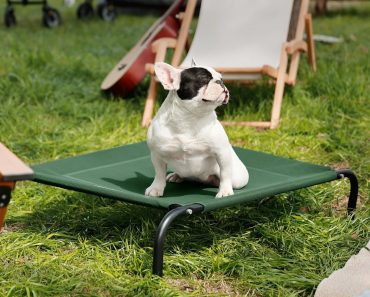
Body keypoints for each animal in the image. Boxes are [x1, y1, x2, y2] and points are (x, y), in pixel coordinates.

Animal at [145, 61, 249, 198]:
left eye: (221, 78)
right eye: (203, 79)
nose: (220, 82)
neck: (190, 117)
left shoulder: (222, 152)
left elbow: (225, 173)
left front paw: (225, 191)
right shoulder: (157, 154)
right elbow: (159, 174)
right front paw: (156, 188)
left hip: (238, 178)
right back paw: (176, 176)